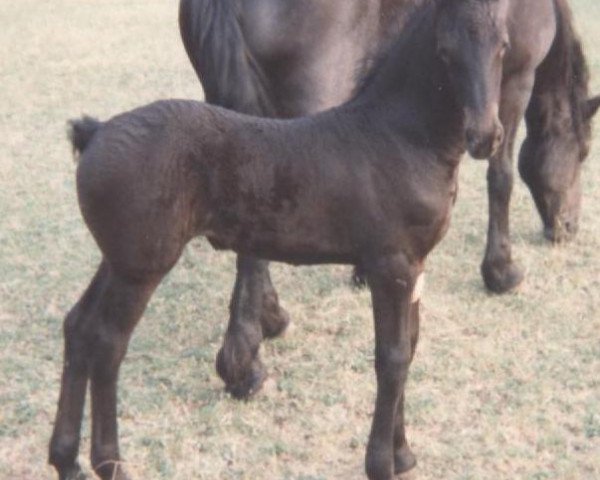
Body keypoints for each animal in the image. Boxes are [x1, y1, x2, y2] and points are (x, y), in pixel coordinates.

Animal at [179, 0, 600, 398]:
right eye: (582, 152)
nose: (568, 227)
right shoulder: (515, 82)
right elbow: (502, 178)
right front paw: (502, 271)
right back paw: (244, 364)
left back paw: (267, 320)